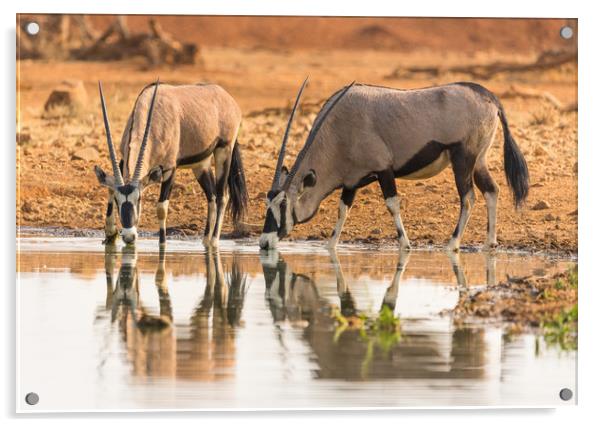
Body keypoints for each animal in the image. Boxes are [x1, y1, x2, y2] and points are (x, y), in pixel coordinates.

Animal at [94, 81, 246, 247]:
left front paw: (162, 244)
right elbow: (110, 188)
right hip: (201, 165)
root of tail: (228, 98)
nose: (129, 236)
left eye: (139, 199)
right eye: (117, 200)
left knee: (222, 196)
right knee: (211, 197)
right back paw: (205, 241)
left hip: (223, 151)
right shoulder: (122, 161)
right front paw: (110, 233)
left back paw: (213, 241)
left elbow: (162, 208)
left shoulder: (169, 169)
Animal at [258, 80, 524, 251]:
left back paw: (452, 244)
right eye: (267, 204)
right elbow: (343, 210)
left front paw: (405, 244)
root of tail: (489, 97)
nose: (264, 242)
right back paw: (489, 242)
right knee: (491, 190)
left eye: (283, 204)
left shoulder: (383, 170)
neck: (338, 131)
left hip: (463, 160)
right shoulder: (352, 181)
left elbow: (392, 205)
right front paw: (331, 245)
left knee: (468, 198)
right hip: (478, 161)